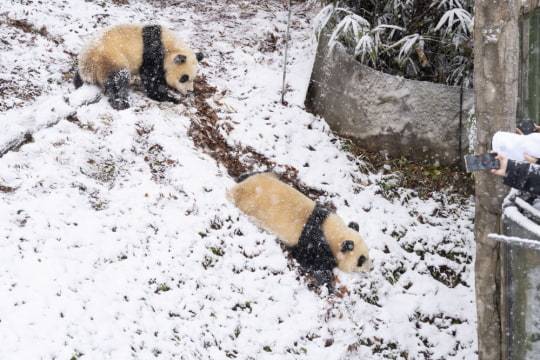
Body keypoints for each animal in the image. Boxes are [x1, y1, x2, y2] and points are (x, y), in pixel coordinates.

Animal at [73, 24, 204, 109]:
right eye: (184, 78)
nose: (189, 91)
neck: (171, 47)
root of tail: (88, 70)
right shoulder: (153, 52)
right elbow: (151, 79)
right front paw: (170, 98)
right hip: (109, 59)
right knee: (118, 79)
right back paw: (122, 102)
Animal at [228, 174, 372, 284]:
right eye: (361, 260)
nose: (370, 269)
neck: (333, 231)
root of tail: (238, 189)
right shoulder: (313, 241)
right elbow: (308, 260)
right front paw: (326, 277)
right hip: (251, 207)